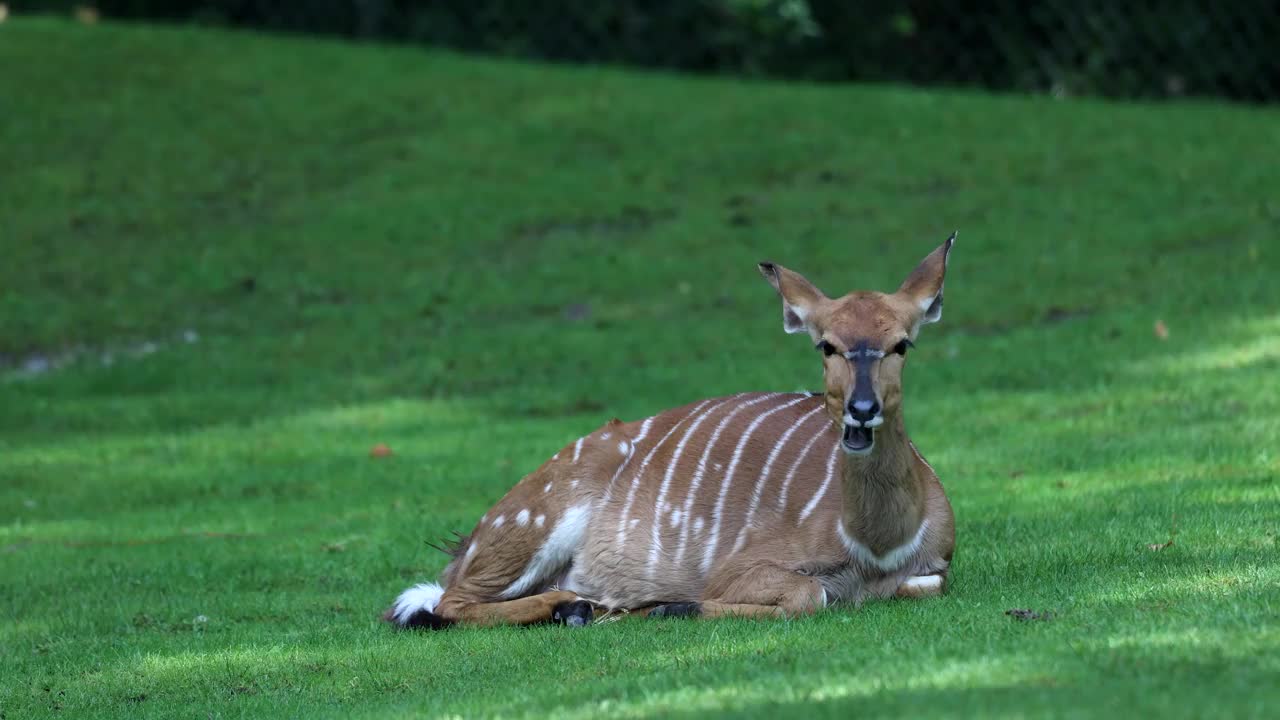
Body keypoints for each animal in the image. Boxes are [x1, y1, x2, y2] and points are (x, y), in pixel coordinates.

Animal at [384, 233, 957, 625]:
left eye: (902, 343)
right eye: (827, 346)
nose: (861, 409)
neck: (876, 545)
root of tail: (465, 545)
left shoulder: (936, 568)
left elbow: (919, 585)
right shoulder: (742, 566)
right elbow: (808, 594)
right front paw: (671, 605)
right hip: (533, 520)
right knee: (447, 602)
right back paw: (576, 607)